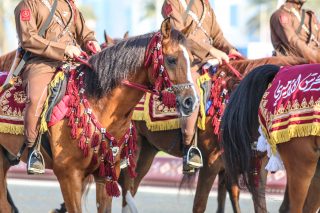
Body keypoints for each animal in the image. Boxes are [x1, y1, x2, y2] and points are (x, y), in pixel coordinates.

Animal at [0, 19, 198, 212]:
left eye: (192, 59)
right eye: (171, 60)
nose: (191, 101)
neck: (99, 106)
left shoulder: (105, 175)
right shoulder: (69, 176)